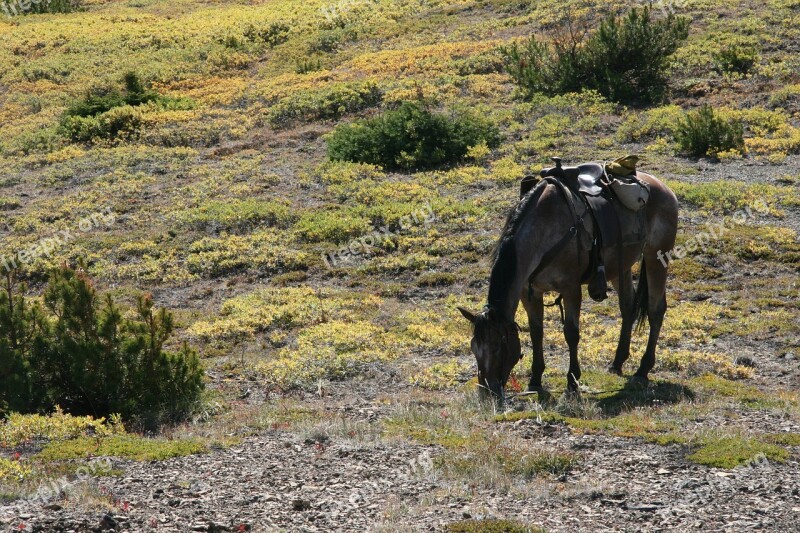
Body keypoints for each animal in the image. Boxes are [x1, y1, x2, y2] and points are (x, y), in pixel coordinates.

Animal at [460, 164, 680, 402]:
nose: (486, 391)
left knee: (656, 310)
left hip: (656, 256)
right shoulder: (530, 292)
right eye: (474, 348)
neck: (544, 228)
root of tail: (663, 188)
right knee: (628, 307)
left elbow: (571, 333)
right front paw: (535, 379)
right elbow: (536, 332)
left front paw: (573, 382)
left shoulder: (571, 289)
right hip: (620, 267)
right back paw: (617, 362)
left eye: (497, 347)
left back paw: (643, 368)